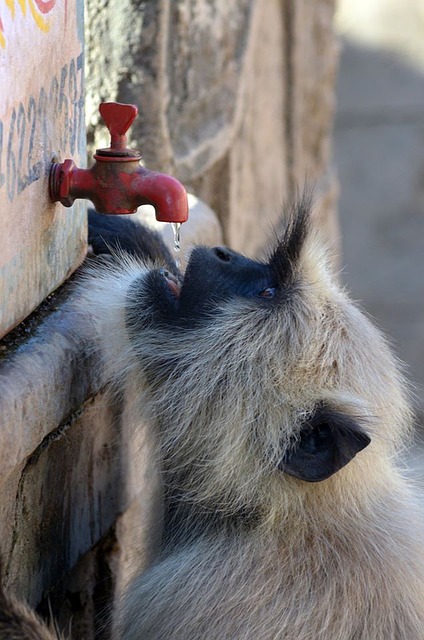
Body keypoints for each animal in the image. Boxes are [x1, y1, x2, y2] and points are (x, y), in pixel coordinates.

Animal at [2, 198, 424, 636]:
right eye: (265, 275)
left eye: (267, 291)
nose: (225, 253)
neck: (284, 512)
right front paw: (128, 236)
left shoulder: (204, 595)